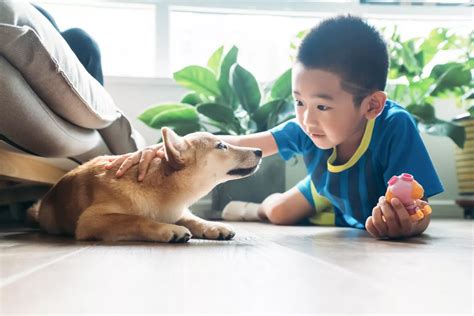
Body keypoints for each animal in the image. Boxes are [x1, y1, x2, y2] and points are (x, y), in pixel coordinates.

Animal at [29, 126, 262, 242]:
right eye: (221, 145)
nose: (259, 150)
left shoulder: (178, 211)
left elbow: (192, 219)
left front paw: (212, 226)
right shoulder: (91, 220)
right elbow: (137, 219)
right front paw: (168, 229)